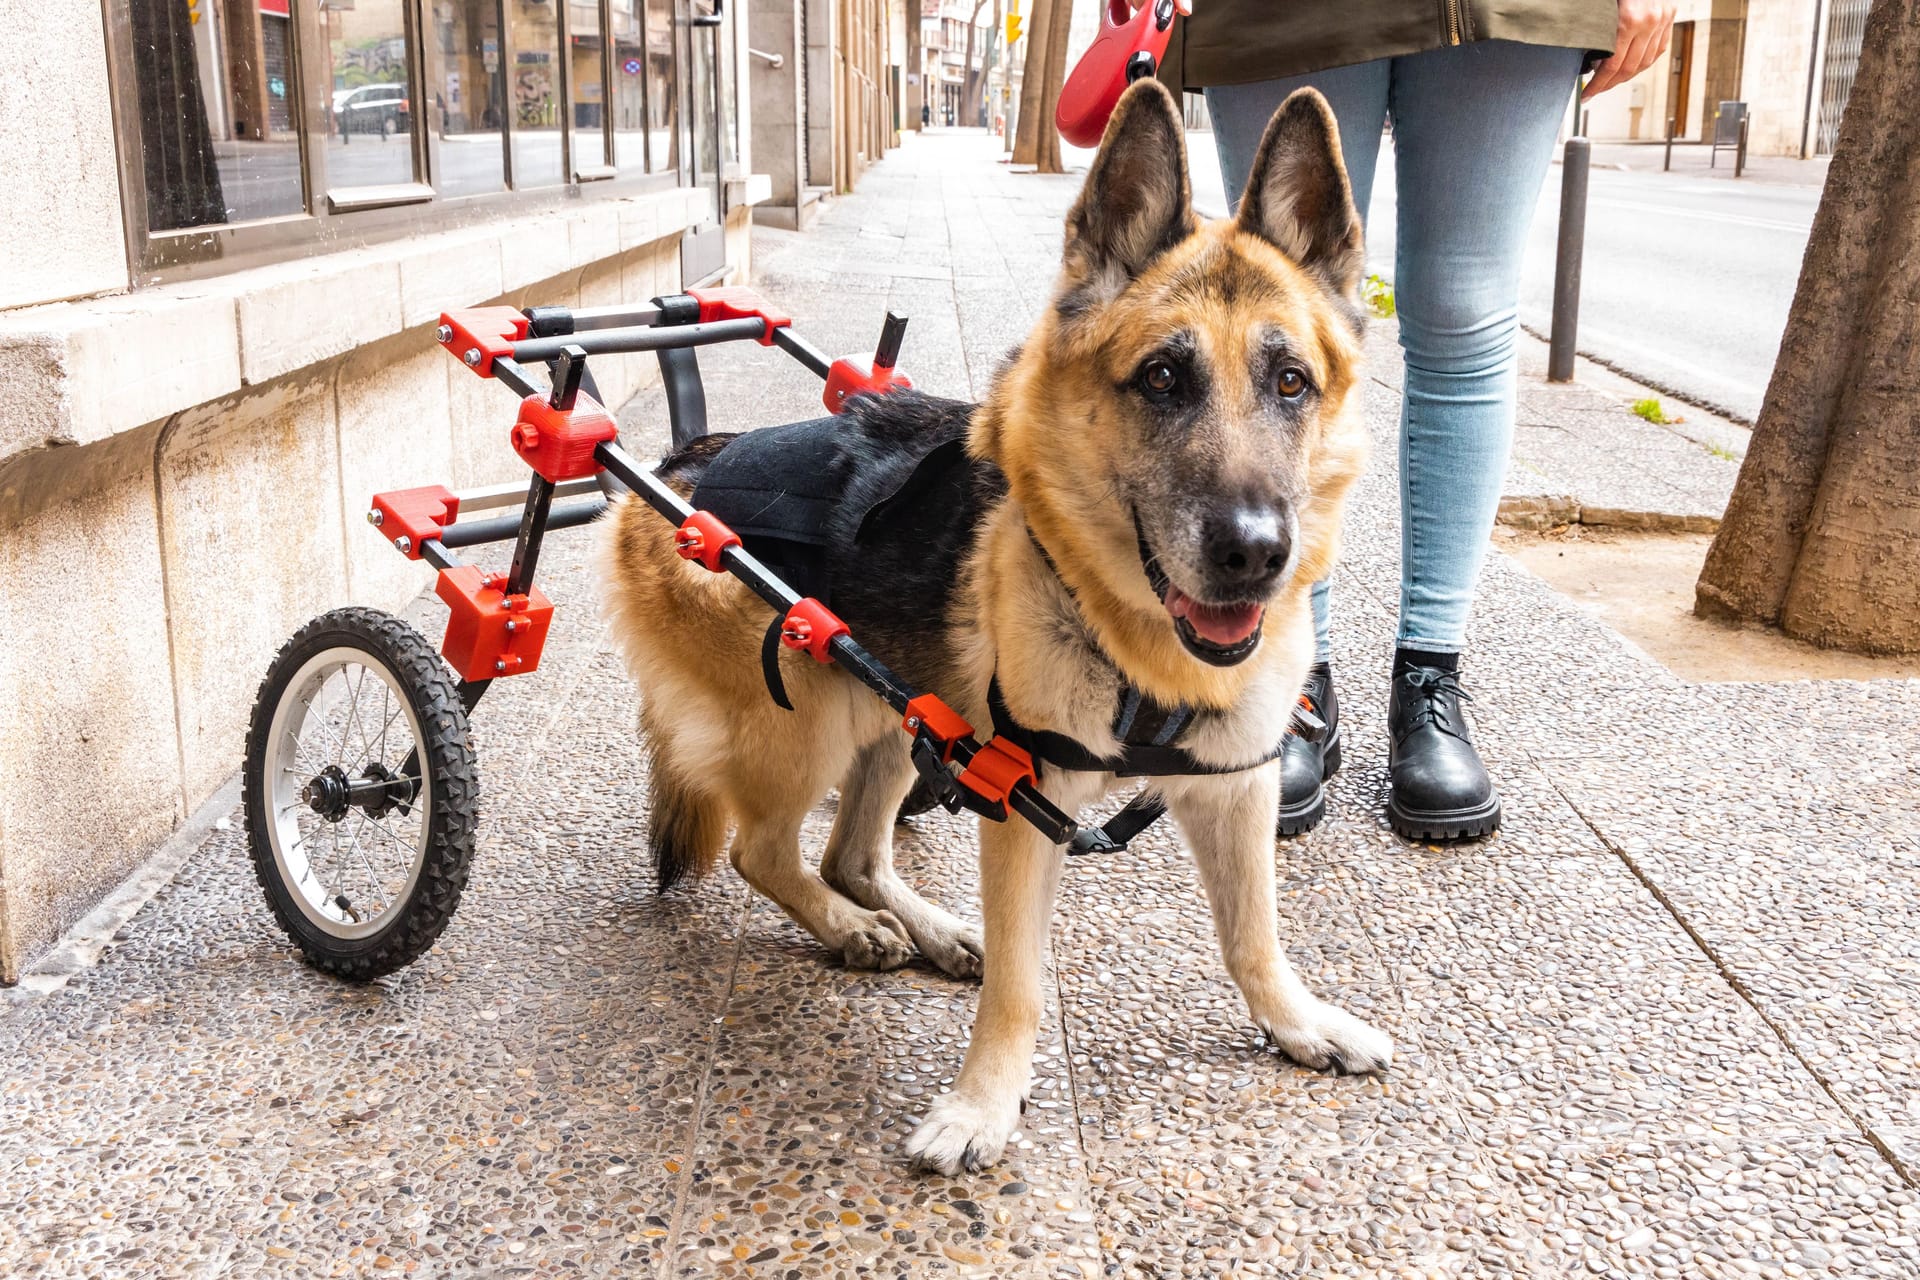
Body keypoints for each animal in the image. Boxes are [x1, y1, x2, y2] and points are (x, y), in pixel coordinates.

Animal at [602, 80, 1397, 1174]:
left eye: (1292, 383)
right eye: (1162, 378)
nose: (1254, 554)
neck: (1136, 642)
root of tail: (678, 468)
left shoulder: (1235, 793)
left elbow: (1254, 938)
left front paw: (1297, 1021)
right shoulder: (1025, 812)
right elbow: (1022, 982)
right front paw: (985, 1102)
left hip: (905, 714)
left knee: (853, 854)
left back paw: (923, 928)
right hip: (810, 718)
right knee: (765, 854)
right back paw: (848, 928)